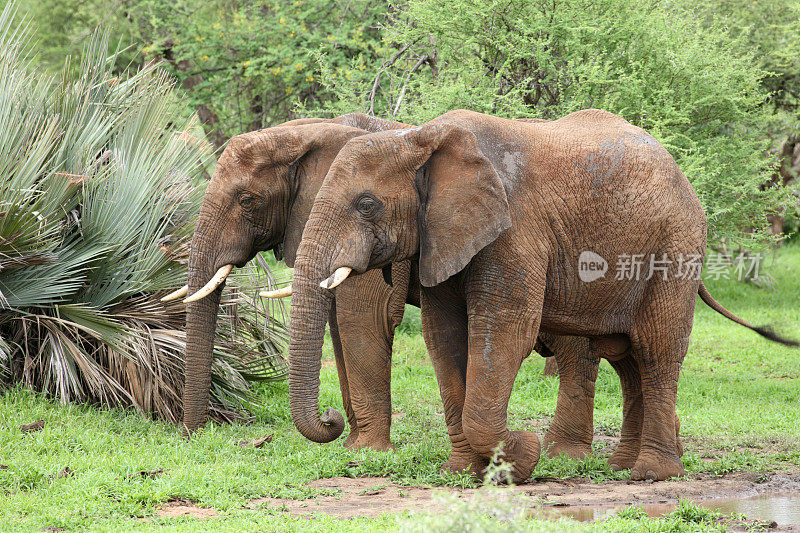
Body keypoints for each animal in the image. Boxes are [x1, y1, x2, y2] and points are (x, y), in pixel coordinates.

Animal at [284, 108, 796, 482]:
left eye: (366, 204)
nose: (331, 418)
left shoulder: (515, 230)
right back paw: (622, 466)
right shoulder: (442, 236)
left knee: (656, 349)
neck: (420, 137)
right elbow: (442, 336)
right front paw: (461, 472)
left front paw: (522, 458)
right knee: (628, 357)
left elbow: (506, 329)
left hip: (675, 244)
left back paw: (652, 474)